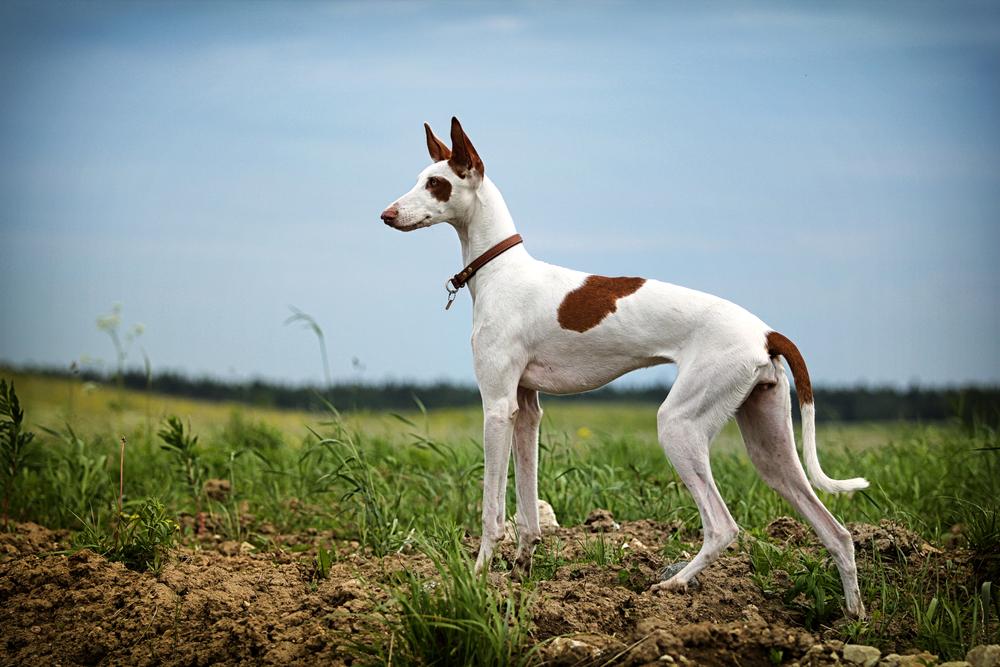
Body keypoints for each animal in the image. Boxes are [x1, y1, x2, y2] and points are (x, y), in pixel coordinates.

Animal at [380, 117, 868, 620]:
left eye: (436, 183)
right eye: (421, 178)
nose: (386, 214)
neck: (501, 271)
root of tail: (766, 332)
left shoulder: (496, 407)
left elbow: (492, 511)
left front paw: (476, 581)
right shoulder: (526, 410)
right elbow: (528, 511)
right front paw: (522, 573)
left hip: (679, 425)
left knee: (723, 526)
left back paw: (672, 585)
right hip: (769, 447)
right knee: (838, 533)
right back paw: (854, 619)